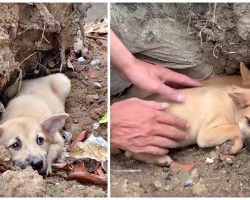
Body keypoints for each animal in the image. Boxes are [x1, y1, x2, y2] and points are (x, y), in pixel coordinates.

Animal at [122, 62, 250, 166]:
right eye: (248, 120)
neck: (231, 105)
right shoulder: (205, 133)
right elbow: (235, 128)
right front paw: (234, 146)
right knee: (131, 153)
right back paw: (161, 159)